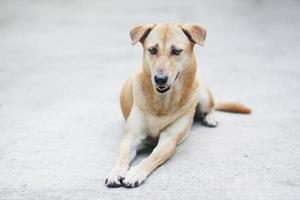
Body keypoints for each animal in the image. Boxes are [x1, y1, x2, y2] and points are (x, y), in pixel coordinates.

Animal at [104, 23, 250, 188]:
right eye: (152, 50)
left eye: (176, 51)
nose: (160, 79)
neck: (163, 102)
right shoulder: (131, 136)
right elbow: (122, 156)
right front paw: (116, 172)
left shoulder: (169, 140)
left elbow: (152, 157)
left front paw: (136, 172)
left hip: (203, 94)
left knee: (210, 107)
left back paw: (210, 118)